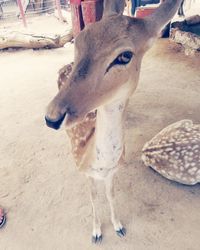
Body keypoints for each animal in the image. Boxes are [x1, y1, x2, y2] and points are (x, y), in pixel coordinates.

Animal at [45, 0, 183, 243]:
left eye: (125, 56)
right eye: (79, 39)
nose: (51, 117)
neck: (100, 163)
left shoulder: (112, 173)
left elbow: (110, 195)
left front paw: (118, 227)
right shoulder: (87, 172)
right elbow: (93, 198)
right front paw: (96, 232)